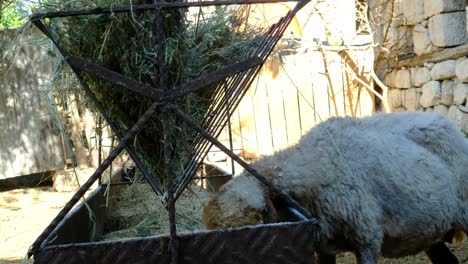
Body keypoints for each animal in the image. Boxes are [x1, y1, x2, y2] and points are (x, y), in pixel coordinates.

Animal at [203, 112, 468, 264]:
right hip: (431, 227)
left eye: (260, 222)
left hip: (464, 210)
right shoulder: (324, 247)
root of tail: (444, 120)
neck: (318, 163)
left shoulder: (367, 240)